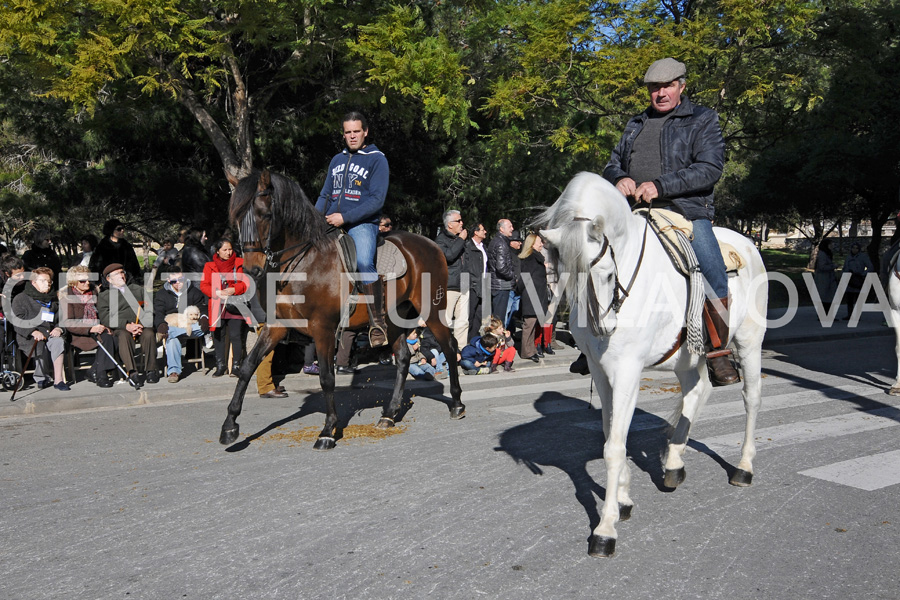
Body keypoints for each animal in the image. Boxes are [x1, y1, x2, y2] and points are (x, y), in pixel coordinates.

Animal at [218, 169, 464, 450]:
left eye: (265, 215)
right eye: (237, 219)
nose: (252, 269)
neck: (303, 264)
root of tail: (432, 245)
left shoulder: (323, 328)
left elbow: (327, 377)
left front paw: (327, 430)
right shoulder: (277, 326)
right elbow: (248, 366)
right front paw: (230, 426)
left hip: (432, 310)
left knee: (449, 346)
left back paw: (457, 403)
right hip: (392, 319)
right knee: (403, 357)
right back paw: (389, 414)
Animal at [536, 172, 768, 556]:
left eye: (608, 273)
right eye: (566, 274)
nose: (604, 328)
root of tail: (749, 245)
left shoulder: (627, 370)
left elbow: (614, 447)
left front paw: (605, 528)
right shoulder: (601, 371)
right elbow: (611, 432)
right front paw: (623, 498)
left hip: (749, 344)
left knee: (751, 399)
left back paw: (744, 467)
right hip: (688, 358)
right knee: (697, 392)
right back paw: (673, 462)